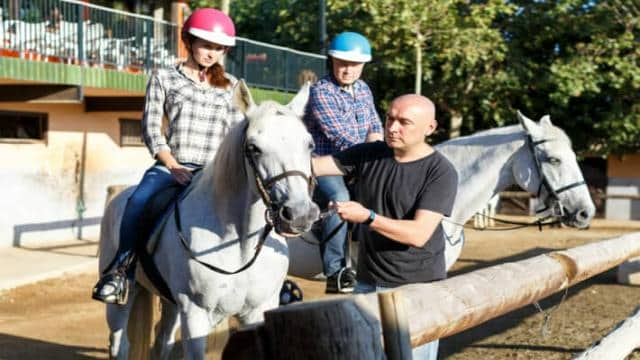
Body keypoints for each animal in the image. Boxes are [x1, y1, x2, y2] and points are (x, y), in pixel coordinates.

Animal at [99, 80, 318, 358]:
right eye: (253, 148)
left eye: (309, 144)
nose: (299, 213)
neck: (239, 242)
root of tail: (119, 196)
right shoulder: (195, 315)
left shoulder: (256, 312)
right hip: (124, 298)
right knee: (120, 343)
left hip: (170, 303)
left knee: (162, 342)